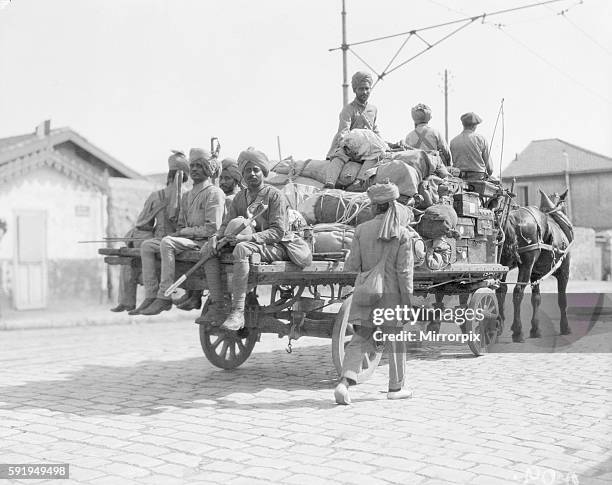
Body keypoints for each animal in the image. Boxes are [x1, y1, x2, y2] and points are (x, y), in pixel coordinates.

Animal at [498, 187, 572, 342]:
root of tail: (511, 220)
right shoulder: (564, 271)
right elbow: (562, 299)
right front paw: (565, 327)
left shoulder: (535, 274)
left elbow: (536, 299)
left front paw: (535, 329)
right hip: (526, 263)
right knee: (518, 291)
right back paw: (518, 331)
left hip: (503, 262)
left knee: (501, 289)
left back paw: (499, 324)